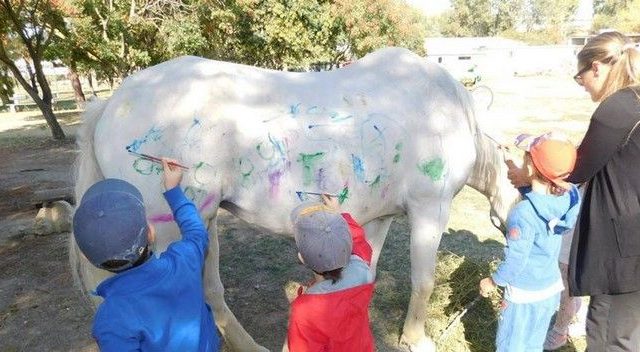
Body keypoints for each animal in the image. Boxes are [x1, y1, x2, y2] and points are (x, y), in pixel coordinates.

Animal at [71, 47, 520, 352]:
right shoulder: (430, 209)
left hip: (203, 221)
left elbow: (369, 272)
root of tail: (112, 102)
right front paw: (415, 338)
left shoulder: (380, 218)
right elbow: (423, 280)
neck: (448, 111)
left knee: (210, 290)